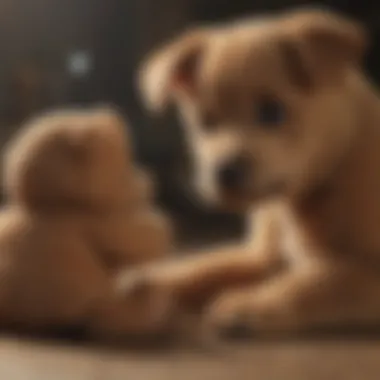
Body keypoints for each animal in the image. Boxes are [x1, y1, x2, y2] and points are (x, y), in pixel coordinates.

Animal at [0, 108, 174, 340]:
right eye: (125, 169)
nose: (148, 180)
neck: (48, 207)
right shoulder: (96, 223)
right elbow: (145, 240)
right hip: (96, 309)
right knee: (127, 314)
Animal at [135, 8, 380, 336]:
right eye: (205, 122)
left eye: (272, 111)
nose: (224, 171)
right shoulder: (260, 256)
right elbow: (206, 266)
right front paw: (148, 280)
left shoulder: (363, 272)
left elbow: (315, 283)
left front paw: (247, 304)